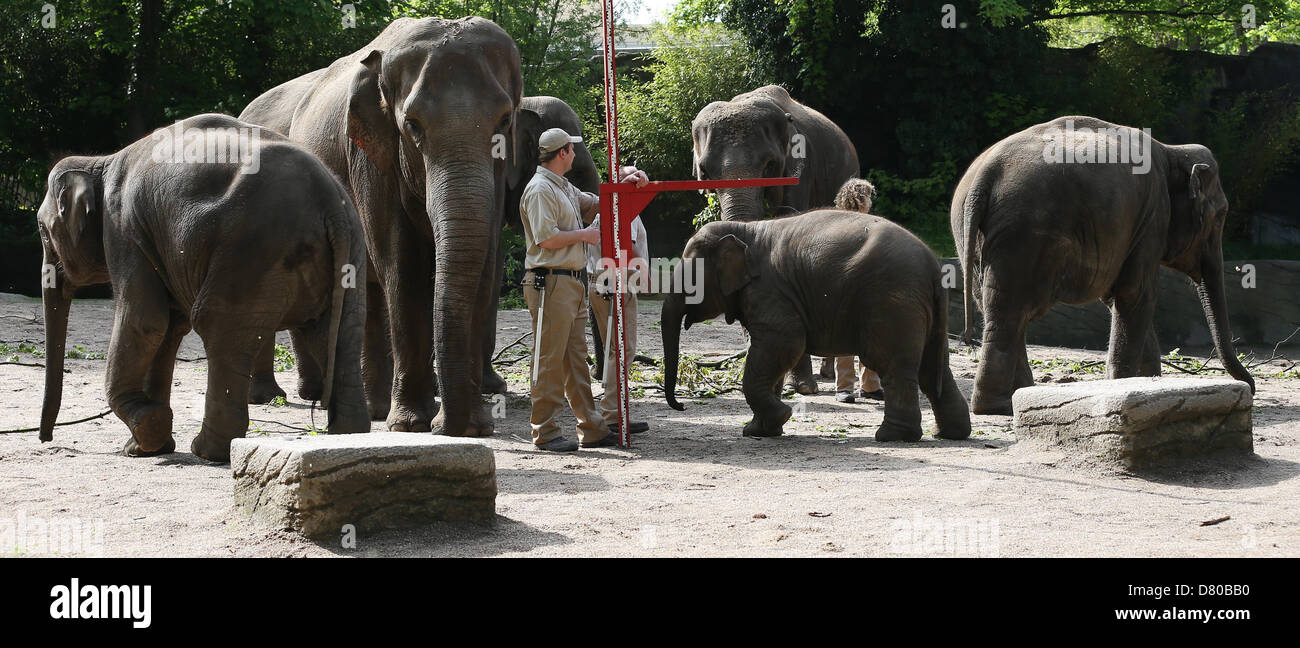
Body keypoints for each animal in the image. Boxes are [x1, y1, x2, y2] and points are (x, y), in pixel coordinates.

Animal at [35, 113, 369, 463]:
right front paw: (146, 446)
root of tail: (329, 200)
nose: (45, 439)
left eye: (43, 231)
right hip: (351, 253)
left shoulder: (123, 229)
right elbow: (170, 327)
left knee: (218, 327)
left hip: (250, 252)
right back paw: (349, 436)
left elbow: (146, 321)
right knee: (339, 333)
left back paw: (208, 450)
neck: (100, 162)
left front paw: (147, 428)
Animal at [239, 17, 522, 434]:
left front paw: (474, 427)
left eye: (504, 120)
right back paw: (364, 409)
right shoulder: (371, 155)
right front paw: (410, 424)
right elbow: (401, 264)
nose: (449, 427)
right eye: (412, 125)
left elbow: (484, 263)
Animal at [665, 209, 972, 442]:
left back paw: (891, 437)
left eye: (689, 281)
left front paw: (778, 418)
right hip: (922, 311)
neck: (745, 230)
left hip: (893, 303)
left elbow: (785, 342)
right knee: (933, 370)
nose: (681, 406)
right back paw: (949, 434)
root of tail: (933, 267)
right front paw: (760, 430)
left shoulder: (769, 292)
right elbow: (774, 353)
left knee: (895, 366)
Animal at [951, 115, 1253, 416]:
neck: (1172, 151)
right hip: (1024, 233)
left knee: (999, 309)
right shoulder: (1152, 217)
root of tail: (984, 176)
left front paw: (1148, 382)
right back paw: (1000, 405)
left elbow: (1118, 298)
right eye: (1221, 216)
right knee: (1011, 312)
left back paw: (1016, 395)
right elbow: (1136, 293)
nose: (1250, 386)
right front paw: (1126, 384)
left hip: (974, 236)